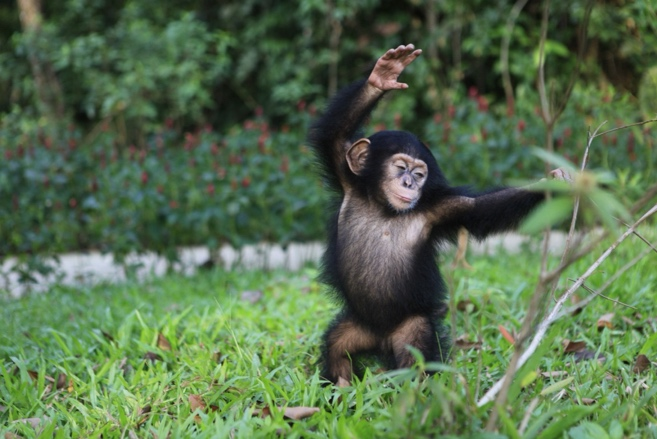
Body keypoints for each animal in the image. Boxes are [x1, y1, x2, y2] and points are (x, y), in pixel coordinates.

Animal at [308, 44, 568, 386]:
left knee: (417, 361)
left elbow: (479, 209)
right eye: (400, 167)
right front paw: (381, 77)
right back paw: (341, 386)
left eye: (420, 174)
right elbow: (335, 135)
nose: (409, 183)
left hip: (412, 327)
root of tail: (380, 339)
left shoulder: (442, 209)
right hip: (357, 326)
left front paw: (551, 184)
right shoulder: (345, 174)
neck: (385, 208)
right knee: (338, 348)